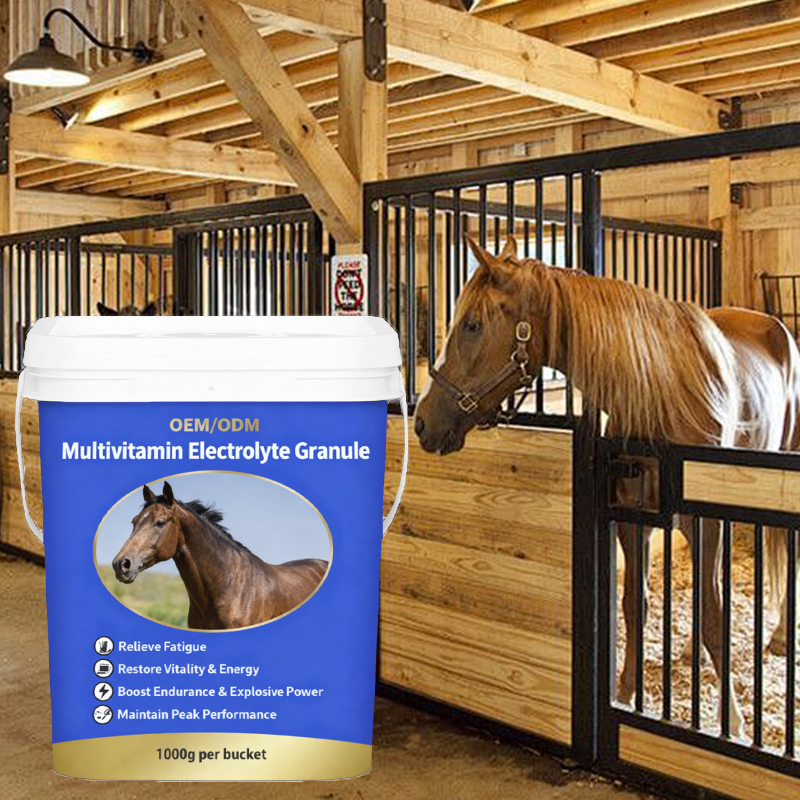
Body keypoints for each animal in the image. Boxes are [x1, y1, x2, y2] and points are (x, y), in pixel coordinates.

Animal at [414, 235, 800, 739]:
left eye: (473, 324)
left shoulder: (704, 520)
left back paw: (779, 638)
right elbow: (636, 605)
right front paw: (627, 694)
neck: (662, 395)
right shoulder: (632, 521)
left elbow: (714, 613)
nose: (423, 422)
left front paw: (730, 721)